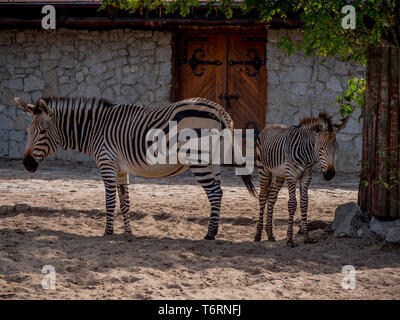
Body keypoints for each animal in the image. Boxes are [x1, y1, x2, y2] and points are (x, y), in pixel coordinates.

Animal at [14, 96, 256, 241]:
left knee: (214, 193)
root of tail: (219, 109)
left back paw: (209, 234)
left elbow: (110, 202)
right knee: (219, 193)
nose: (26, 164)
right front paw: (128, 233)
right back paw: (213, 231)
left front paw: (108, 232)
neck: (94, 129)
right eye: (28, 131)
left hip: (199, 159)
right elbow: (125, 203)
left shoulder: (107, 165)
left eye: (42, 132)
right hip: (213, 160)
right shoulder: (121, 170)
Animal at [253, 112, 350, 248]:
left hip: (279, 175)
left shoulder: (306, 176)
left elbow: (304, 203)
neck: (306, 155)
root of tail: (269, 126)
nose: (330, 174)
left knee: (271, 197)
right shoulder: (291, 175)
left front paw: (306, 237)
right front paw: (289, 239)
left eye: (336, 148)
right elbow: (292, 204)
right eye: (321, 148)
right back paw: (257, 235)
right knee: (262, 197)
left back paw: (270, 234)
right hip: (263, 169)